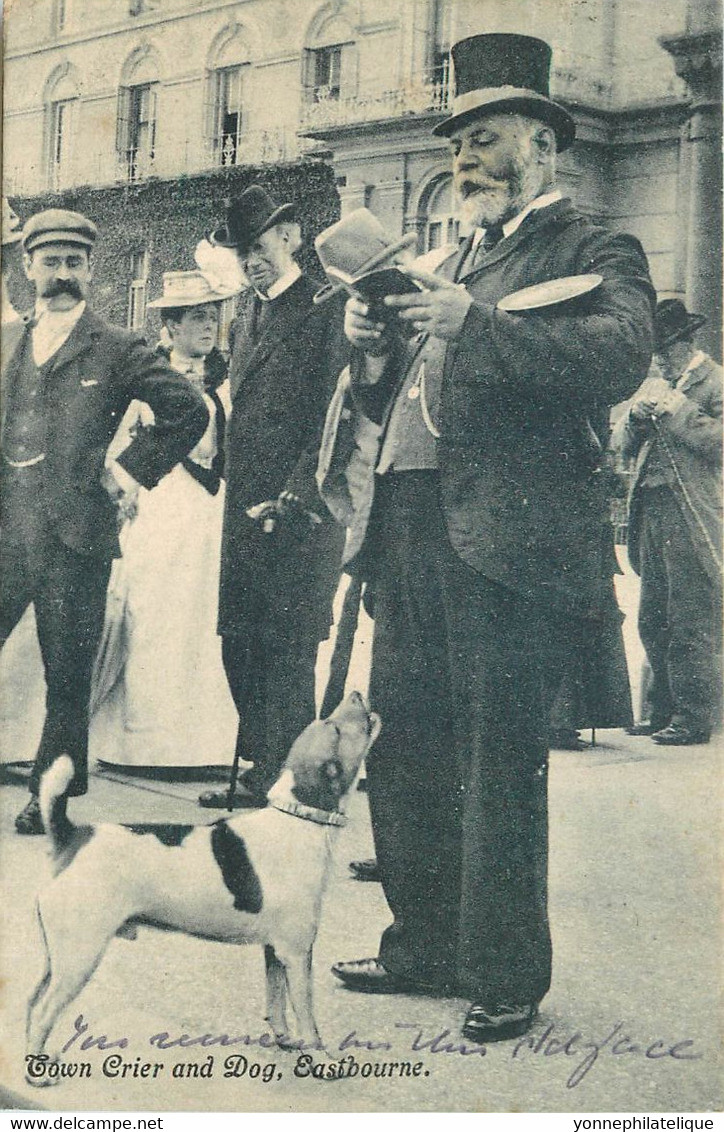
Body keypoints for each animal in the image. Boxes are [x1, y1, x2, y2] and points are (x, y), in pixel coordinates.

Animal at [26, 688, 382, 1077]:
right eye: (335, 729)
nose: (357, 692)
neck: (297, 819)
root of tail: (72, 838)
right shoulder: (296, 952)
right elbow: (306, 1015)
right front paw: (320, 1059)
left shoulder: (275, 952)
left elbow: (276, 1003)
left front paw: (285, 1040)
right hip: (79, 956)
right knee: (43, 1011)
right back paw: (38, 1071)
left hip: (57, 956)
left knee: (31, 1003)